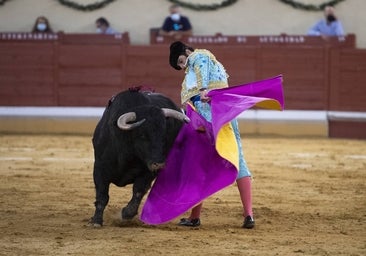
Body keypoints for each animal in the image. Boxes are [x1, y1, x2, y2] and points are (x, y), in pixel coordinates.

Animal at [90, 89, 190, 227]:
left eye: (164, 135)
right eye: (142, 135)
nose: (159, 164)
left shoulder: (148, 172)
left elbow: (138, 191)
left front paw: (126, 213)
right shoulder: (100, 167)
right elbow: (102, 194)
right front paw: (96, 221)